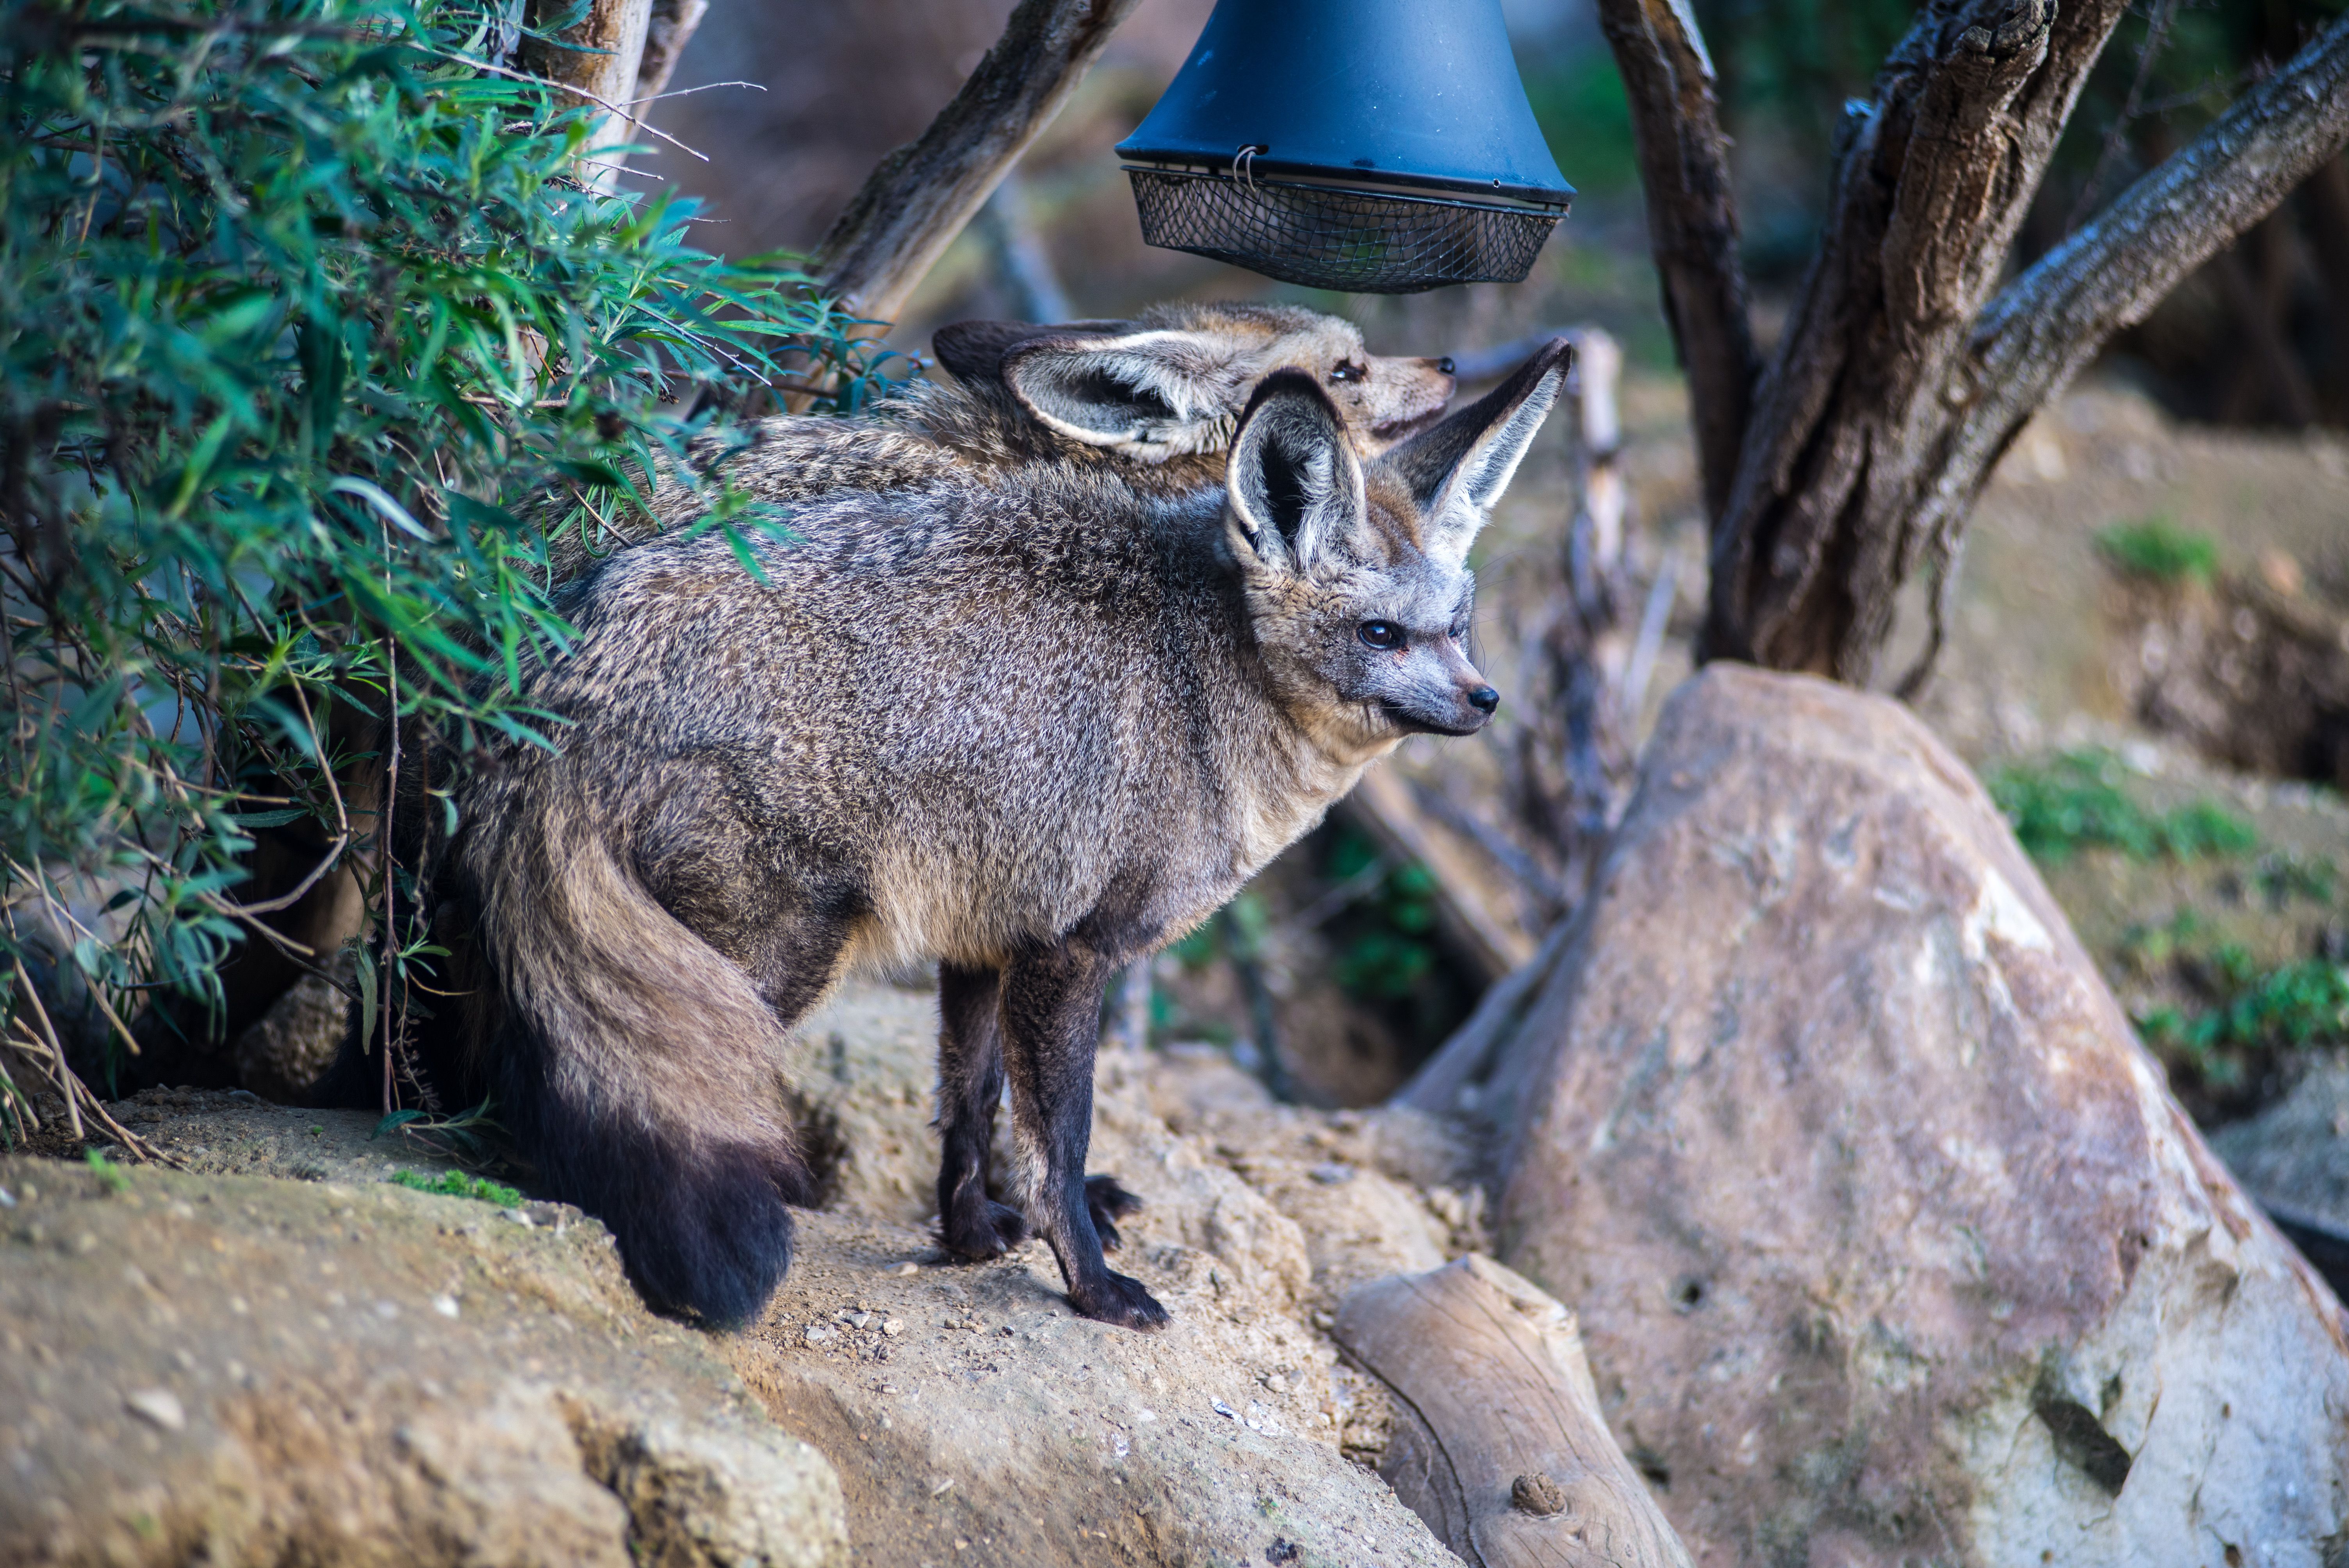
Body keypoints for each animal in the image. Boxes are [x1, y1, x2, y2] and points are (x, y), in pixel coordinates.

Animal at [379, 339, 1570, 1331]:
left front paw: (966, 1234)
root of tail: (569, 653)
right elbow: (1059, 1138)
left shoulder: (987, 930)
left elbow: (971, 1099)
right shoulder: (1073, 951)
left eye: (1455, 629)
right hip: (773, 959)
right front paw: (1090, 1285)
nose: (1487, 702)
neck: (1206, 680)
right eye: (1382, 634)